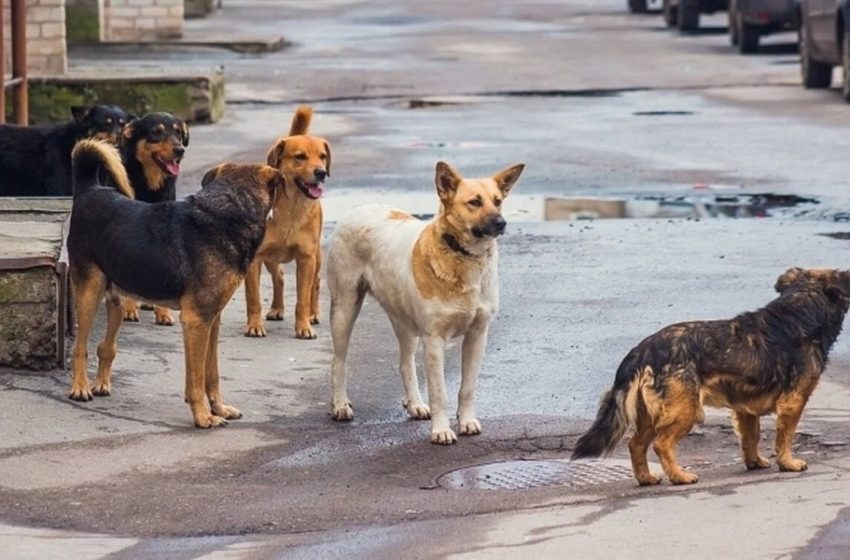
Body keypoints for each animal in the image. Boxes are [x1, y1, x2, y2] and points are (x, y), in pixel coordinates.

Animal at [67, 140, 284, 428]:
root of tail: (89, 189)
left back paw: (101, 383)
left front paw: (219, 408)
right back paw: (80, 388)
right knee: (80, 347)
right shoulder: (196, 321)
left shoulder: (212, 320)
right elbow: (196, 380)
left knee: (106, 346)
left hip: (116, 299)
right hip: (89, 292)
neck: (228, 211)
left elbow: (211, 374)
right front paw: (203, 416)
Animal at [116, 111, 187, 326]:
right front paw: (129, 308)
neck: (150, 186)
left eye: (178, 133)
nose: (180, 150)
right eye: (157, 132)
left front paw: (163, 313)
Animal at [243, 106, 330, 340]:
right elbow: (253, 298)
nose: (321, 173)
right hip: (271, 258)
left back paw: (313, 314)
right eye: (300, 157)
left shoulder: (306, 258)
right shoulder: (255, 259)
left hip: (317, 257)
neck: (292, 208)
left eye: (322, 156)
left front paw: (304, 326)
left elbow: (302, 298)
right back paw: (277, 308)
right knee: (279, 277)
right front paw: (254, 325)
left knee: (315, 283)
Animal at [326, 160, 520, 444]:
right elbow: (440, 393)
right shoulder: (435, 341)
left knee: (405, 363)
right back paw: (340, 405)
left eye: (498, 201)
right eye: (474, 202)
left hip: (403, 321)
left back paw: (415, 404)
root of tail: (359, 208)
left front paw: (467, 421)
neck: (462, 256)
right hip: (344, 309)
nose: (501, 222)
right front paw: (441, 430)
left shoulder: (477, 335)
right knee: (339, 361)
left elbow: (467, 388)